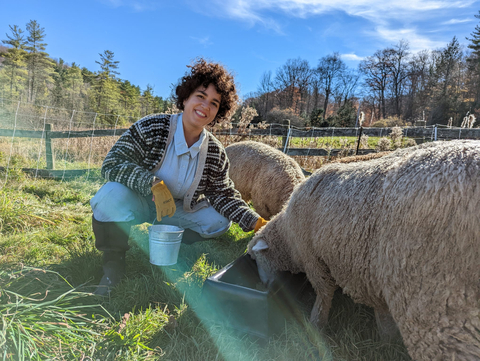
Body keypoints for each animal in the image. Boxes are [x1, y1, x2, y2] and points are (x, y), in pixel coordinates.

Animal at [248, 139, 480, 358]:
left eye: (256, 259)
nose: (262, 284)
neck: (288, 236)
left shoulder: (313, 259)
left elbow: (324, 294)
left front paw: (315, 324)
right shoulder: (369, 273)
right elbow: (382, 312)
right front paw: (387, 339)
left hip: (436, 302)